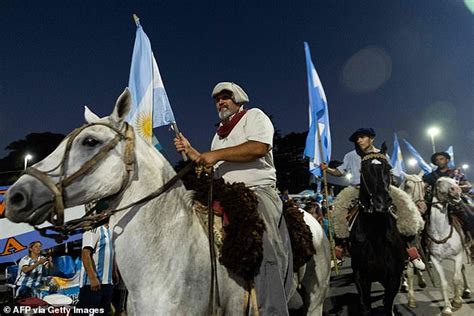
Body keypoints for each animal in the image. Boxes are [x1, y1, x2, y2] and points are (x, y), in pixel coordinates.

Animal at [350, 146, 406, 316]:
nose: (382, 202)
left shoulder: (393, 277)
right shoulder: (361, 276)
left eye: (388, 168)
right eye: (364, 169)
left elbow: (387, 306)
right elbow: (366, 306)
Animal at [426, 177, 466, 314]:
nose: (456, 190)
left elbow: (456, 279)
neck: (441, 232)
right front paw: (447, 307)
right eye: (439, 182)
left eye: (456, 182)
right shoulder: (435, 259)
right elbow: (443, 283)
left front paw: (457, 301)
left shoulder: (458, 256)